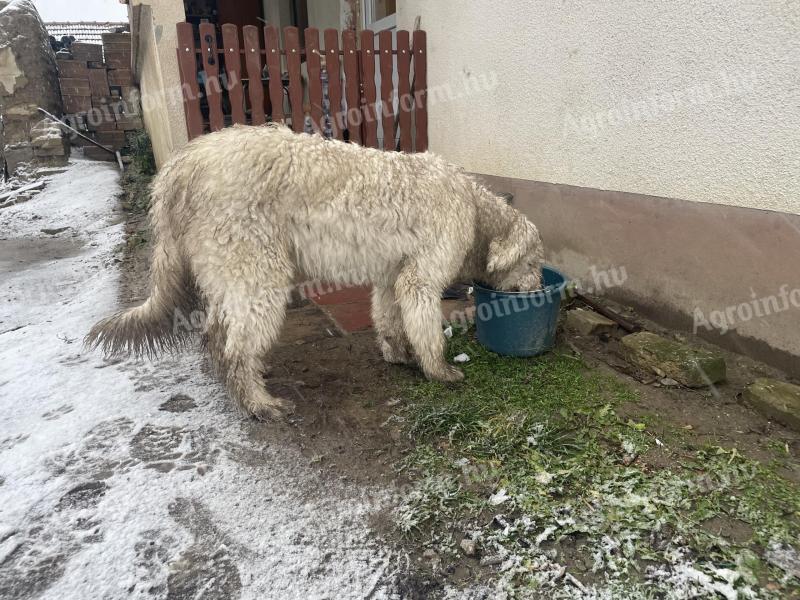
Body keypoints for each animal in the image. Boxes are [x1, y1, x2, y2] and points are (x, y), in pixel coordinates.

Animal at [86, 124, 544, 420]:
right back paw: (259, 403)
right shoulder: (421, 277)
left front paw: (398, 354)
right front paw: (439, 371)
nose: (539, 289)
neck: (472, 207)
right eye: (536, 262)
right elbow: (426, 327)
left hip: (230, 272)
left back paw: (250, 379)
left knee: (219, 332)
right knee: (236, 345)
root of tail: (180, 167)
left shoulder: (390, 276)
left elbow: (389, 317)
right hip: (257, 269)